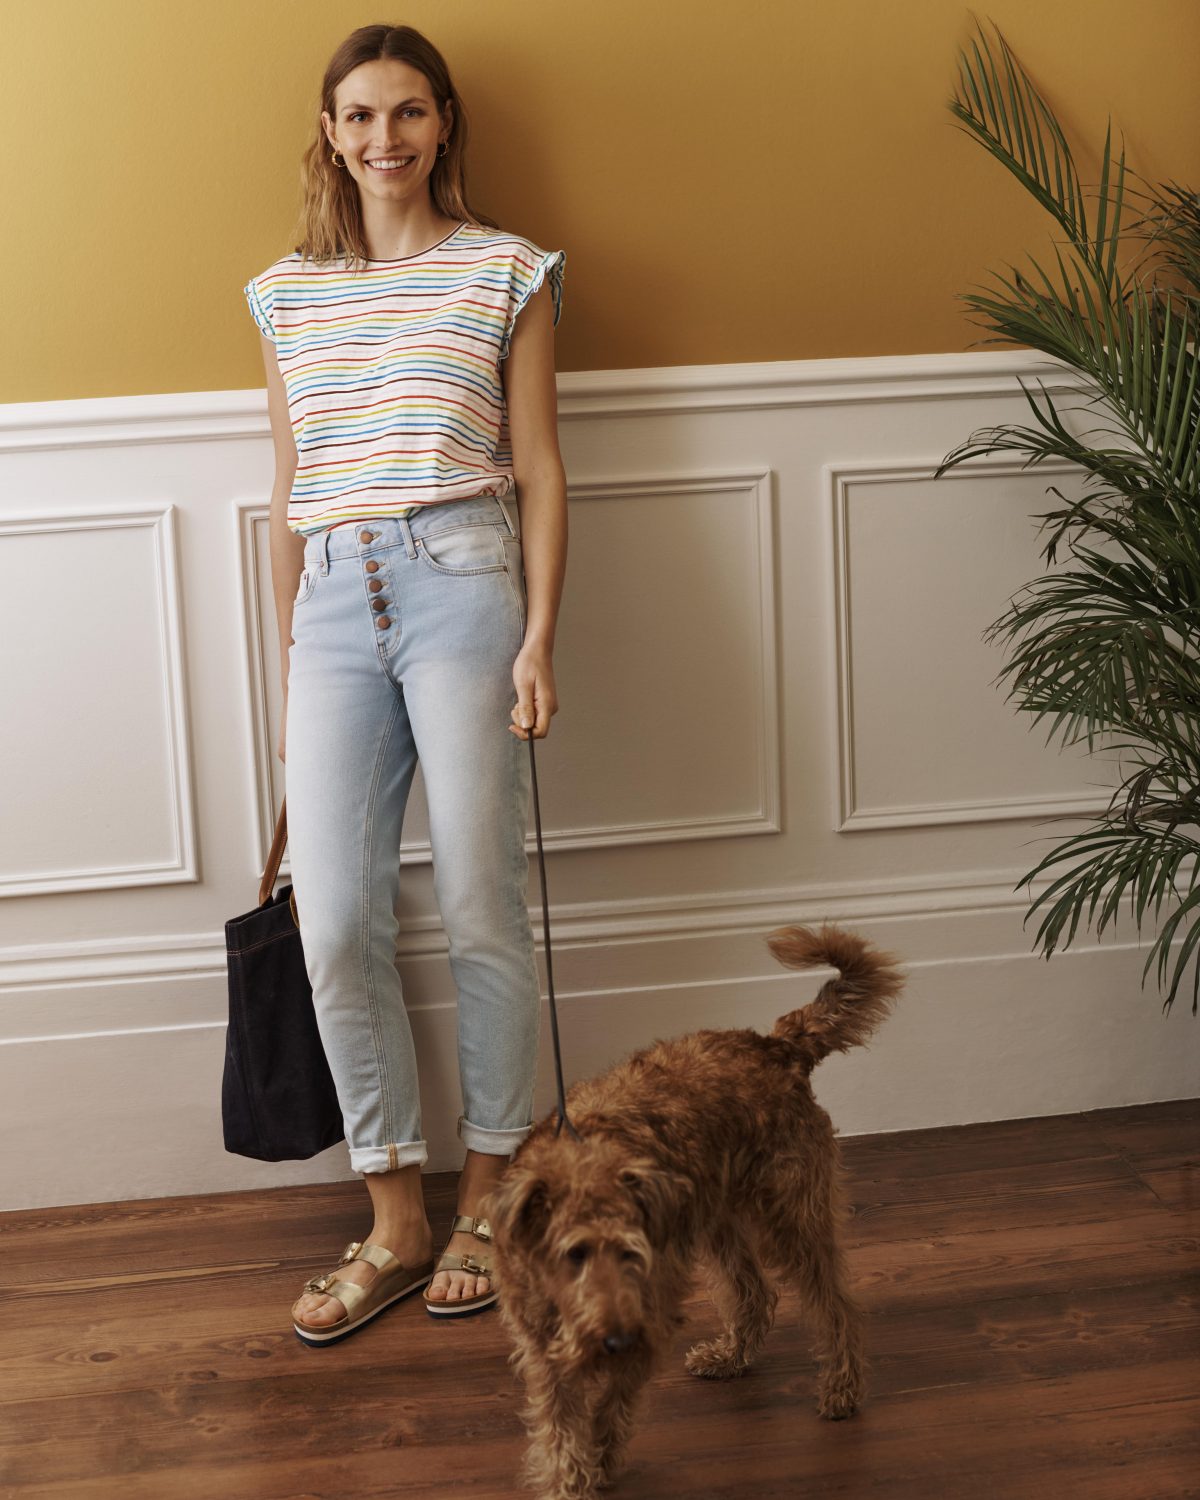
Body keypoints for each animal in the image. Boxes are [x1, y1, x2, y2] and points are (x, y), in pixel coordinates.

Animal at [484, 922, 905, 1500]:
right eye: (574, 1254)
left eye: (633, 1254)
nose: (617, 1339)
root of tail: (779, 1045)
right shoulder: (544, 1348)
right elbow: (561, 1433)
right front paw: (573, 1480)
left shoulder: (650, 1313)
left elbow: (609, 1408)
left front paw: (602, 1459)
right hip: (719, 1220)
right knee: (755, 1292)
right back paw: (731, 1358)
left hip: (790, 1216)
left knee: (837, 1304)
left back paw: (841, 1388)